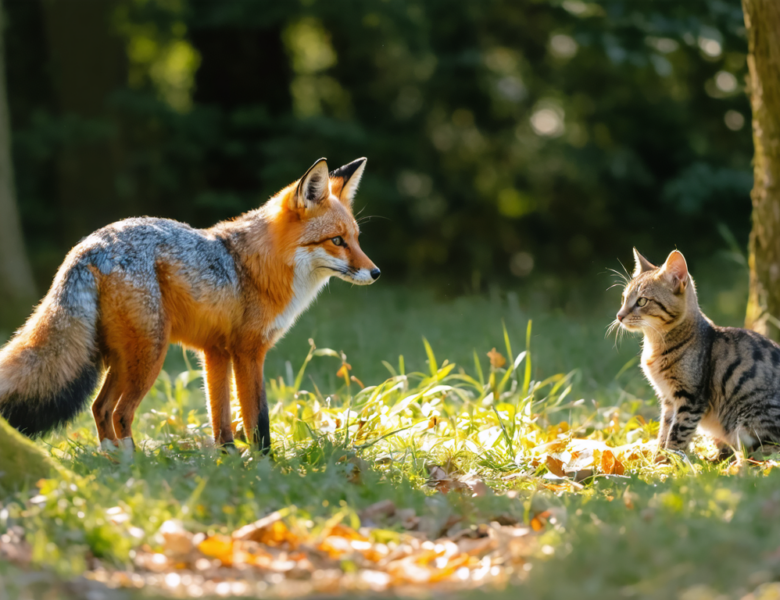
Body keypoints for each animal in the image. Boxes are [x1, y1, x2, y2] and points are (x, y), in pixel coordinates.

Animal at [0, 157, 380, 454]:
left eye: (357, 239)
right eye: (336, 241)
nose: (376, 273)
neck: (258, 266)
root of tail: (89, 245)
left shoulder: (216, 352)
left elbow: (220, 418)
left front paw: (228, 461)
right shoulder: (248, 351)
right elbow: (258, 419)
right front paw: (265, 467)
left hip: (124, 358)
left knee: (99, 408)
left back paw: (114, 465)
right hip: (150, 355)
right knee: (120, 412)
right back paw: (136, 467)